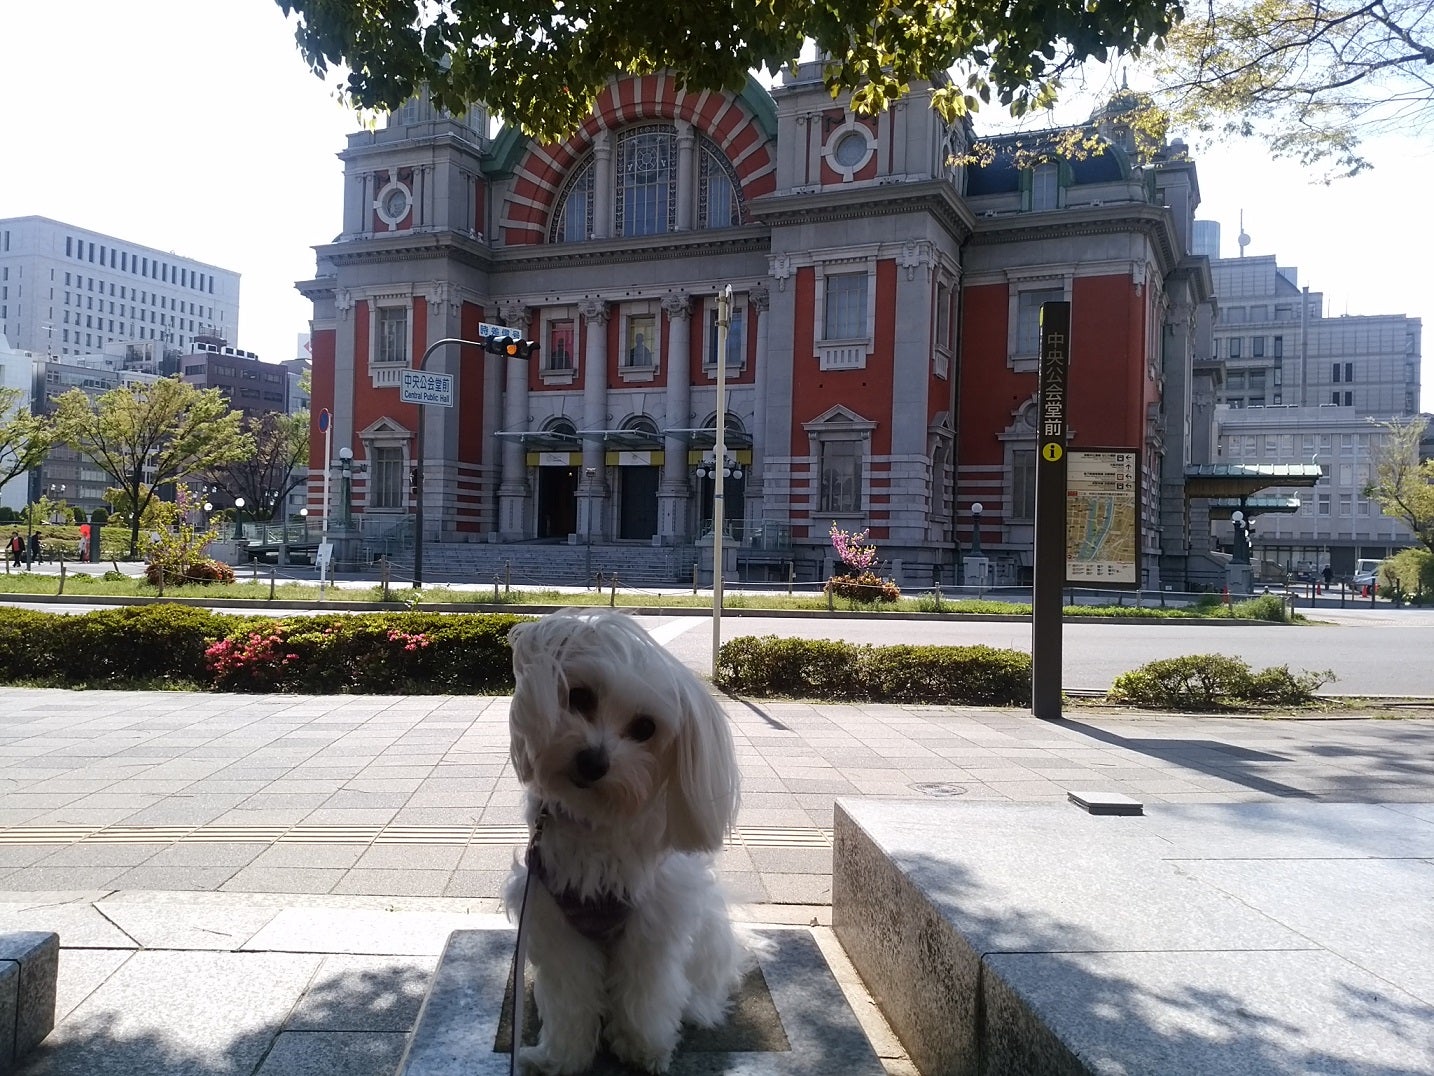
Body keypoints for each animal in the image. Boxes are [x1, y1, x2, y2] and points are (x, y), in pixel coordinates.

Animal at [504, 614, 745, 1076]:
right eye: (579, 697)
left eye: (645, 728)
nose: (592, 762)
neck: (596, 825)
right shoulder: (554, 922)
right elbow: (569, 1000)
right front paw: (560, 1058)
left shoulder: (651, 926)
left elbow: (645, 995)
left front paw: (644, 1049)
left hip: (707, 937)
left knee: (705, 986)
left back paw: (699, 1008)